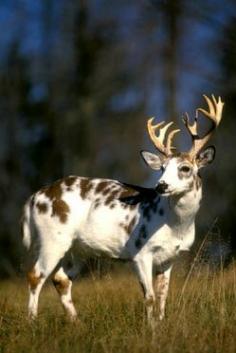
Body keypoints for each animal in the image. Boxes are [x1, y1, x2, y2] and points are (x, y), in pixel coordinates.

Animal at [21, 94, 223, 328]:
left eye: (185, 168)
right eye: (162, 168)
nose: (161, 185)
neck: (176, 226)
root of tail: (35, 197)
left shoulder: (169, 257)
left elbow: (163, 295)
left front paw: (161, 323)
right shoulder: (140, 252)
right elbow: (149, 296)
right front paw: (151, 328)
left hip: (78, 248)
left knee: (60, 279)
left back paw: (76, 323)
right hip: (52, 238)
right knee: (35, 275)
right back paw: (32, 322)